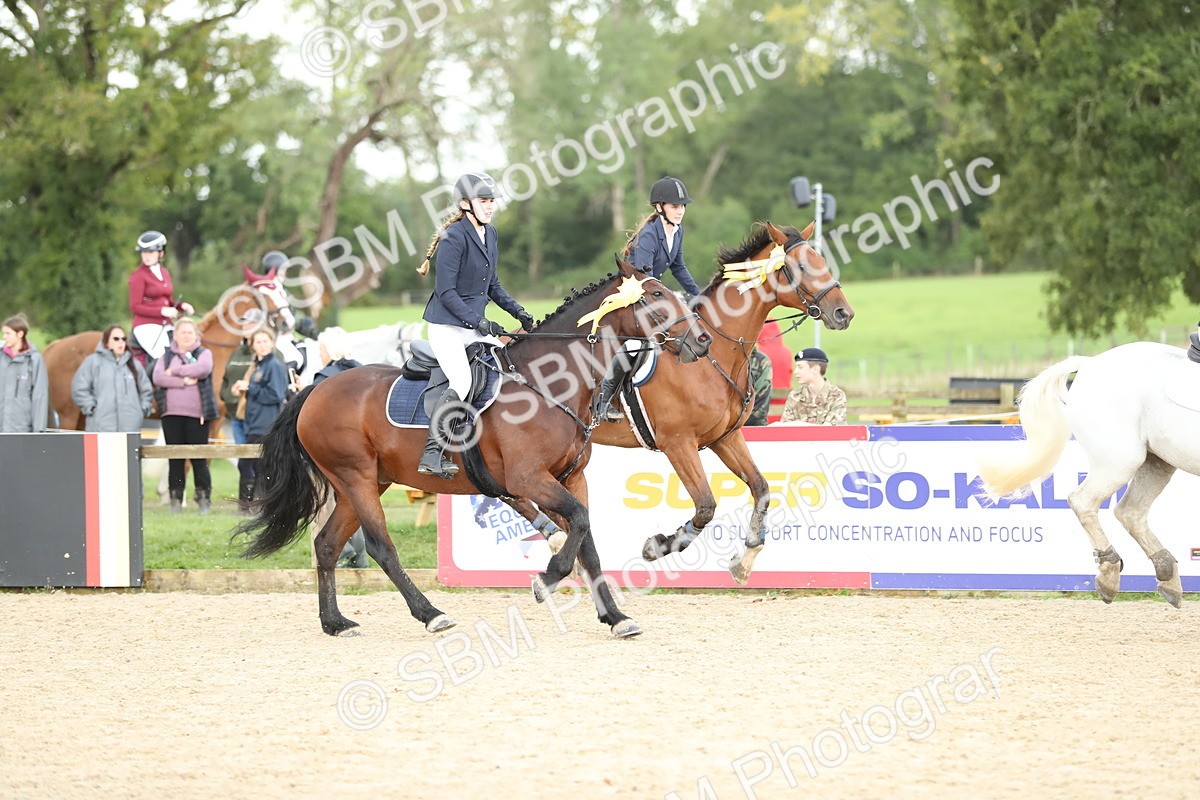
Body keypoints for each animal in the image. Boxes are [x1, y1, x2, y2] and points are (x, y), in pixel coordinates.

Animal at [42, 268, 294, 430]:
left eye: (281, 291)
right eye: (265, 294)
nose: (288, 323)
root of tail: (55, 346)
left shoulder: (217, 419)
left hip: (82, 416)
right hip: (68, 414)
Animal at [235, 256, 712, 638]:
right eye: (655, 295)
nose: (703, 341)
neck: (549, 385)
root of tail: (316, 389)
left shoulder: (572, 477)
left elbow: (588, 542)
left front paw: (615, 617)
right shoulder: (527, 479)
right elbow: (576, 525)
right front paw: (546, 580)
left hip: (364, 483)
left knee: (327, 546)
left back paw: (335, 622)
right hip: (357, 479)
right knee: (380, 547)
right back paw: (431, 614)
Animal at [507, 221, 854, 583]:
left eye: (821, 261)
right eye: (801, 267)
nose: (844, 313)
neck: (714, 354)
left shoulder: (725, 438)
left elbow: (761, 489)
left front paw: (745, 559)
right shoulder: (678, 443)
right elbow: (705, 505)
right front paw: (658, 545)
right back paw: (557, 540)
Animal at [975, 342, 1194, 607]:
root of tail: (1091, 363)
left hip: (1157, 462)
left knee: (1130, 512)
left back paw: (1166, 575)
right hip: (1120, 461)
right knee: (1084, 502)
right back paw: (1110, 573)